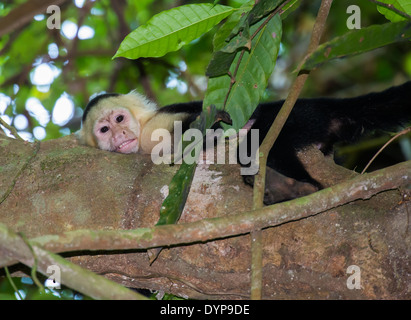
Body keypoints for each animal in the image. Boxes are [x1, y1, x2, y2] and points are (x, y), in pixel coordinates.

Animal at [78, 81, 411, 204]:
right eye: (104, 129)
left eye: (119, 119)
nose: (119, 136)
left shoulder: (153, 131)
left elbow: (203, 123)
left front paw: (213, 127)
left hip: (288, 121)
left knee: (261, 145)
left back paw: (301, 186)